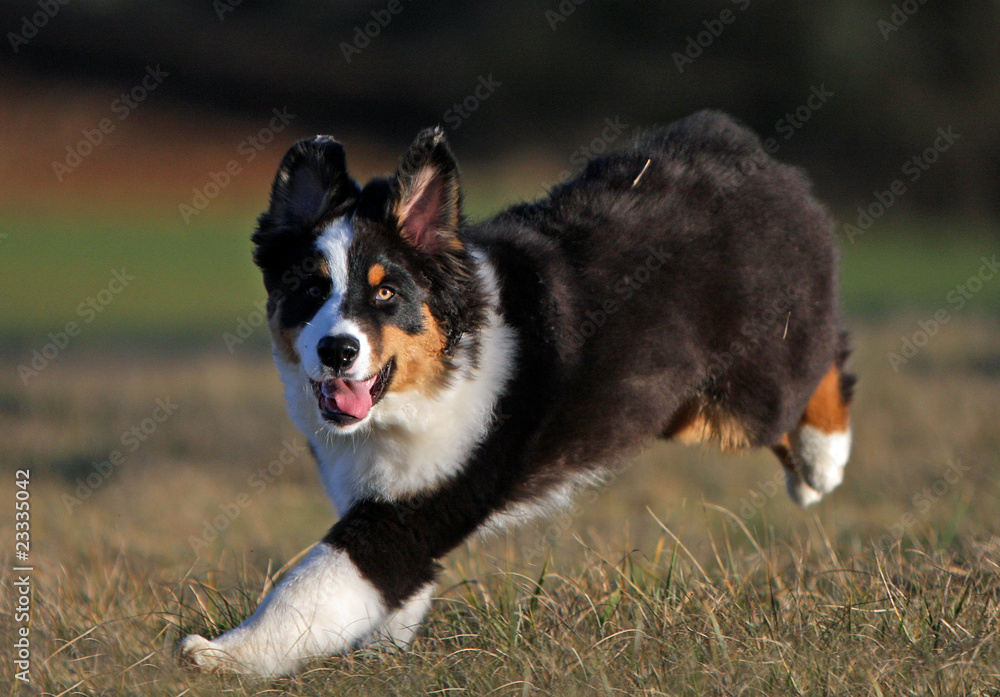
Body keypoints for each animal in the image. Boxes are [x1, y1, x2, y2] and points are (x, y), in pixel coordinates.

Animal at [178, 113, 852, 676]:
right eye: (310, 289)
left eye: (386, 293)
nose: (336, 350)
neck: (426, 383)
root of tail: (739, 145)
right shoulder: (381, 499)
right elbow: (384, 595)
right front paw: (380, 660)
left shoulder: (414, 507)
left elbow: (311, 583)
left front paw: (223, 656)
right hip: (681, 401)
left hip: (753, 387)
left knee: (824, 357)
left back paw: (823, 460)